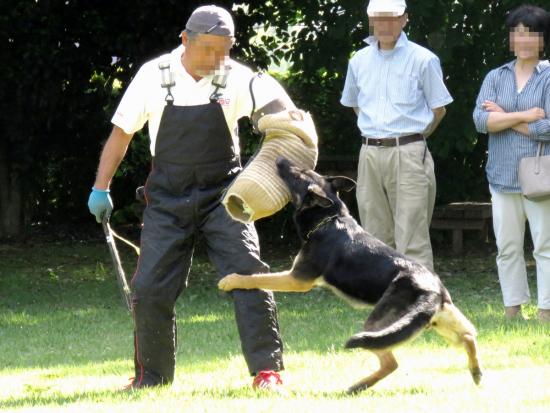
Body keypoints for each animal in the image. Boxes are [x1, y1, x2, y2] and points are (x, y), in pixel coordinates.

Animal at [220, 156, 484, 392]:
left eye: (296, 176)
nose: (280, 159)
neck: (328, 219)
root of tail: (431, 288)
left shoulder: (296, 279)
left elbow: (256, 277)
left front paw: (231, 280)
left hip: (377, 324)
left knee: (391, 363)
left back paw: (358, 386)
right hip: (436, 321)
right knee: (469, 336)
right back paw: (476, 372)